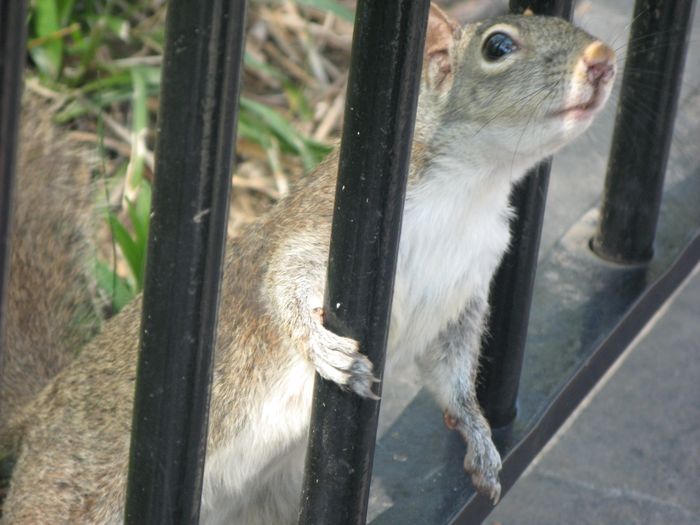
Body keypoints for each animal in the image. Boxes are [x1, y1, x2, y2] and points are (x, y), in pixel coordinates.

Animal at [0, 5, 616, 524]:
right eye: (498, 46)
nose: (603, 60)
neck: (474, 187)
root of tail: (38, 415)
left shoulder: (465, 291)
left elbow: (452, 371)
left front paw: (477, 431)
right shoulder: (324, 223)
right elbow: (283, 276)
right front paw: (325, 351)